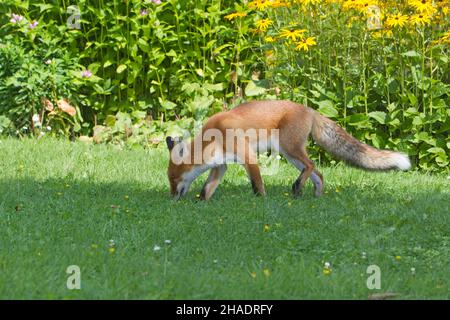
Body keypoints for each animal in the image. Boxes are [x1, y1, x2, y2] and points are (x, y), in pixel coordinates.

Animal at [166, 100, 412, 200]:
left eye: (173, 179)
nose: (172, 198)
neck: (214, 138)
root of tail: (310, 109)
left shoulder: (248, 156)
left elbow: (257, 184)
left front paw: (261, 200)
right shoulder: (221, 165)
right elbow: (207, 189)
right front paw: (201, 202)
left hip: (289, 148)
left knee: (311, 165)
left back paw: (297, 187)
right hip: (290, 154)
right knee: (319, 174)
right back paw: (314, 195)